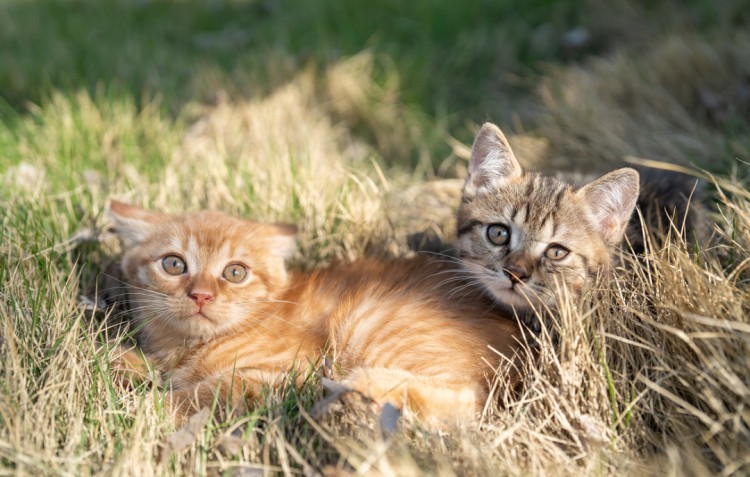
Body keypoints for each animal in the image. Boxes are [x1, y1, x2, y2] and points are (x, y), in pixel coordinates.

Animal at [110, 199, 524, 422]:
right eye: (173, 264)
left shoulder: (289, 371)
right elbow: (136, 363)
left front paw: (151, 408)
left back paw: (362, 385)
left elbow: (211, 390)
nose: (201, 296)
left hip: (366, 324)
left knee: (471, 400)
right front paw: (123, 363)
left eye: (235, 272)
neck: (187, 347)